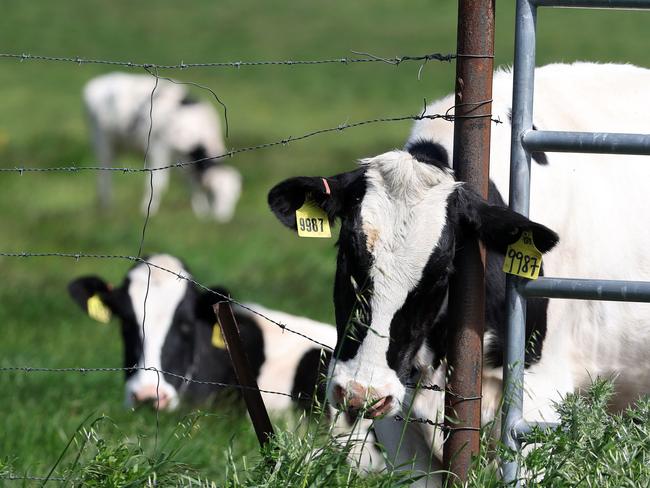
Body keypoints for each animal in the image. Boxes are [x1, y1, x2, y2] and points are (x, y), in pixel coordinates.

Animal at [83, 73, 240, 223]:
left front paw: (200, 213)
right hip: (102, 141)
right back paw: (106, 207)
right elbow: (158, 183)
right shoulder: (158, 149)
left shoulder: (184, 161)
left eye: (235, 197)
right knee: (104, 175)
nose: (223, 218)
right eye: (213, 193)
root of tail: (98, 83)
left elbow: (192, 184)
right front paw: (148, 211)